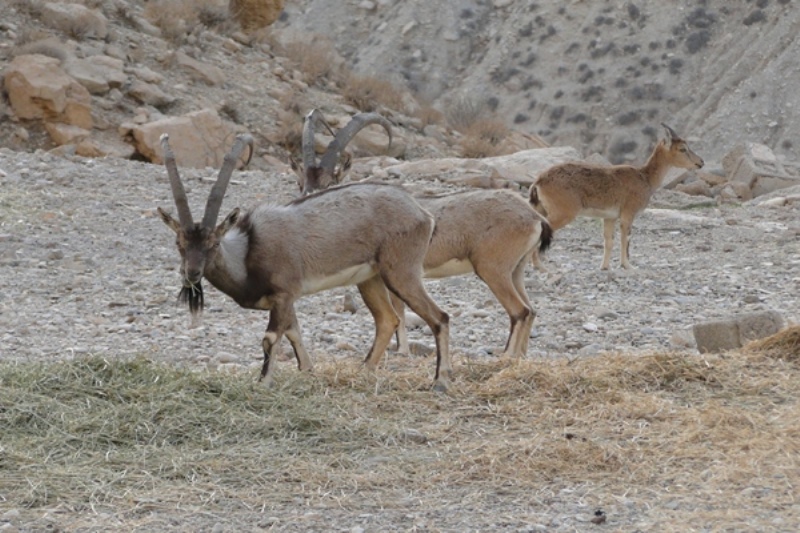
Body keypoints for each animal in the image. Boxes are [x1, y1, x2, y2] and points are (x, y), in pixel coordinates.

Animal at [158, 133, 456, 388]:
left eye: (214, 243)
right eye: (179, 243)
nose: (192, 274)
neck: (247, 251)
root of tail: (422, 213)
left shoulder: (283, 294)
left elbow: (270, 338)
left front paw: (263, 384)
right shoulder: (285, 300)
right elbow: (294, 332)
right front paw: (307, 370)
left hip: (401, 273)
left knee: (439, 317)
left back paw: (440, 381)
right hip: (370, 279)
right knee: (386, 320)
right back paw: (364, 371)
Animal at [528, 122, 704, 268]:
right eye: (682, 149)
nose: (700, 162)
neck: (645, 178)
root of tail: (539, 181)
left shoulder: (609, 217)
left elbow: (609, 241)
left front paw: (605, 267)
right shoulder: (628, 213)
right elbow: (625, 239)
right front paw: (627, 266)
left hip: (540, 208)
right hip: (563, 212)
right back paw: (539, 266)